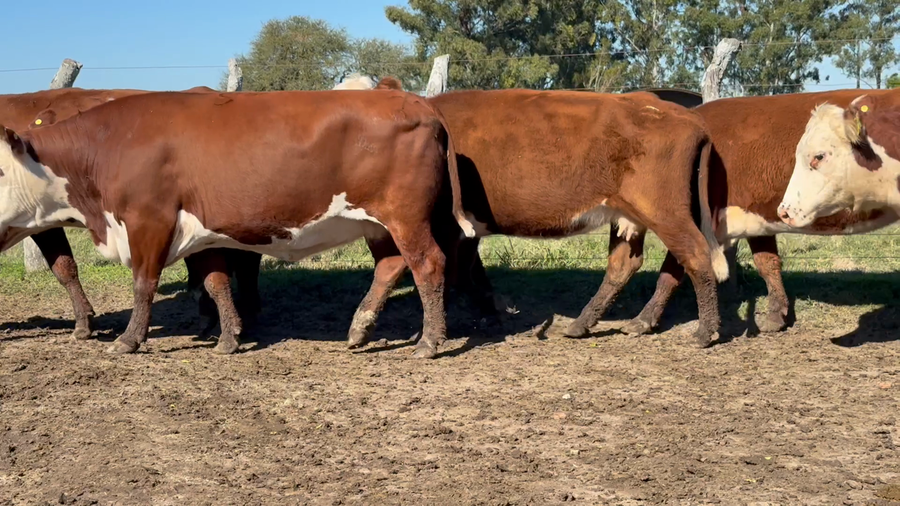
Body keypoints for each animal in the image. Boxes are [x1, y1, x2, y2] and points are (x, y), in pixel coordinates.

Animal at [0, 88, 474, 357]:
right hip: (379, 224)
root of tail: (417, 101)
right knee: (391, 266)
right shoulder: (201, 230)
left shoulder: (148, 220)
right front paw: (229, 337)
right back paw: (360, 328)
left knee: (427, 264)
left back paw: (430, 341)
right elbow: (215, 283)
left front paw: (129, 339)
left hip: (405, 216)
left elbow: (143, 283)